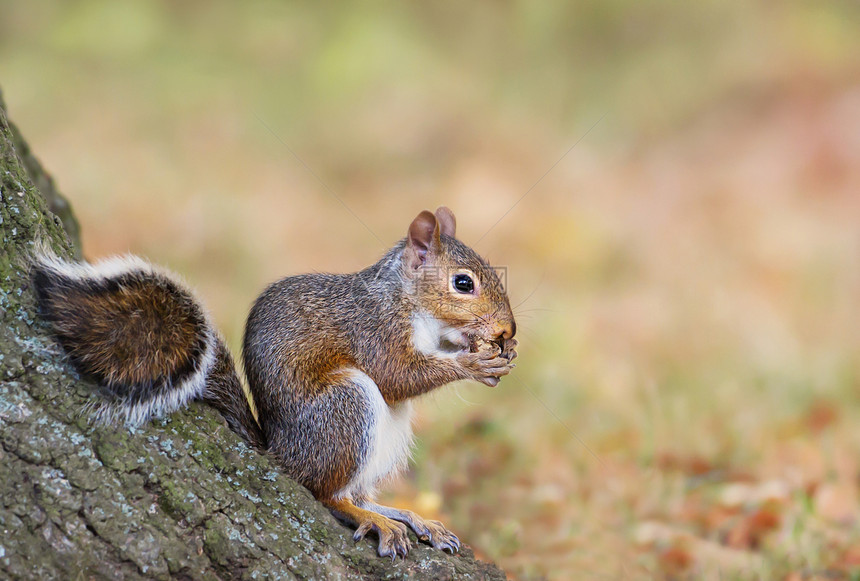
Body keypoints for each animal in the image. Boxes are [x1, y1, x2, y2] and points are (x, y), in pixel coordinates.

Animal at [30, 207, 516, 556]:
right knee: (327, 493)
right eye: (463, 283)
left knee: (358, 492)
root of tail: (281, 453)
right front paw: (474, 364)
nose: (508, 329)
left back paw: (411, 517)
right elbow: (397, 375)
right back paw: (375, 519)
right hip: (346, 405)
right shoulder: (374, 329)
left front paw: (497, 353)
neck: (407, 301)